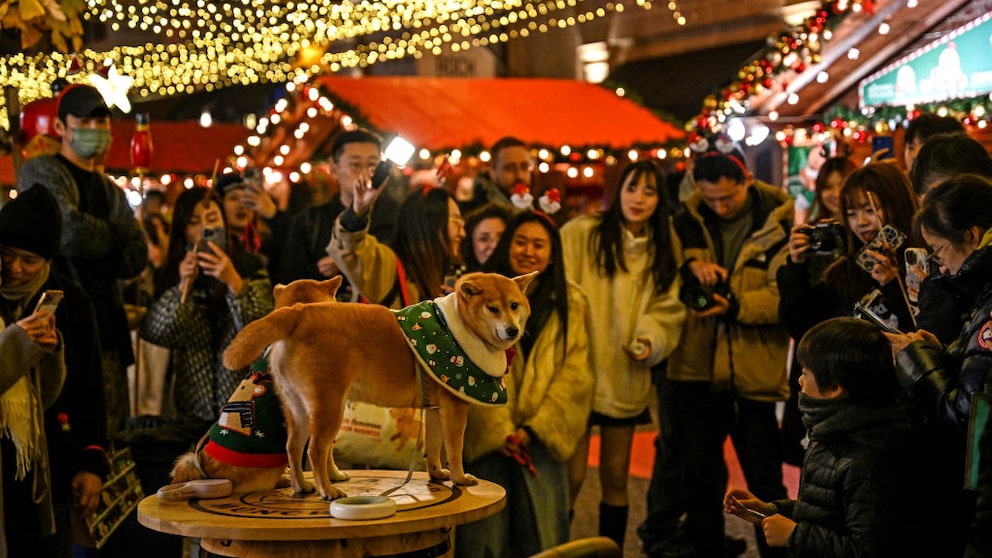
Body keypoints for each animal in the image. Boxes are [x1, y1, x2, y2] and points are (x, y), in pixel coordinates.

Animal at [223, 274, 536, 500]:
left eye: (514, 305)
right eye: (493, 308)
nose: (512, 330)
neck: (455, 327)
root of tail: (300, 312)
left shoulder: (435, 408)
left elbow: (433, 447)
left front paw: (437, 473)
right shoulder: (455, 409)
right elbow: (455, 449)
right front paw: (460, 477)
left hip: (297, 409)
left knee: (293, 447)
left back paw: (302, 486)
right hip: (328, 408)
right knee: (315, 452)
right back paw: (328, 490)